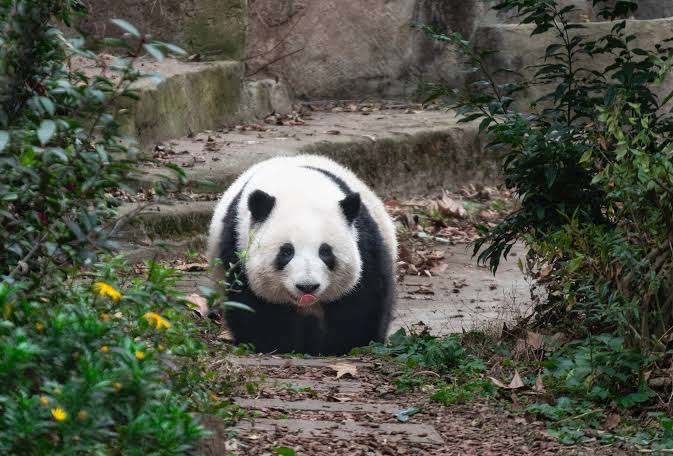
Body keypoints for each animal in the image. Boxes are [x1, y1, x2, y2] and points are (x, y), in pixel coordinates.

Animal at [207, 154, 397, 356]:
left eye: (325, 252)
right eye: (287, 252)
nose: (307, 286)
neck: (298, 188)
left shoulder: (364, 239)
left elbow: (362, 298)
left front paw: (347, 344)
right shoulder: (237, 246)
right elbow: (254, 306)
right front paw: (278, 345)